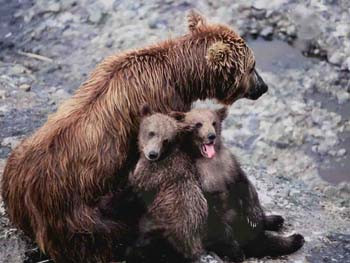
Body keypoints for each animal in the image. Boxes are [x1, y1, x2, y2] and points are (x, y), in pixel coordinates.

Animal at [2, 11, 268, 262]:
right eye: (252, 66)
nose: (263, 87)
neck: (180, 77)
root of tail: (23, 196)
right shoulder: (163, 107)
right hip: (75, 211)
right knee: (104, 235)